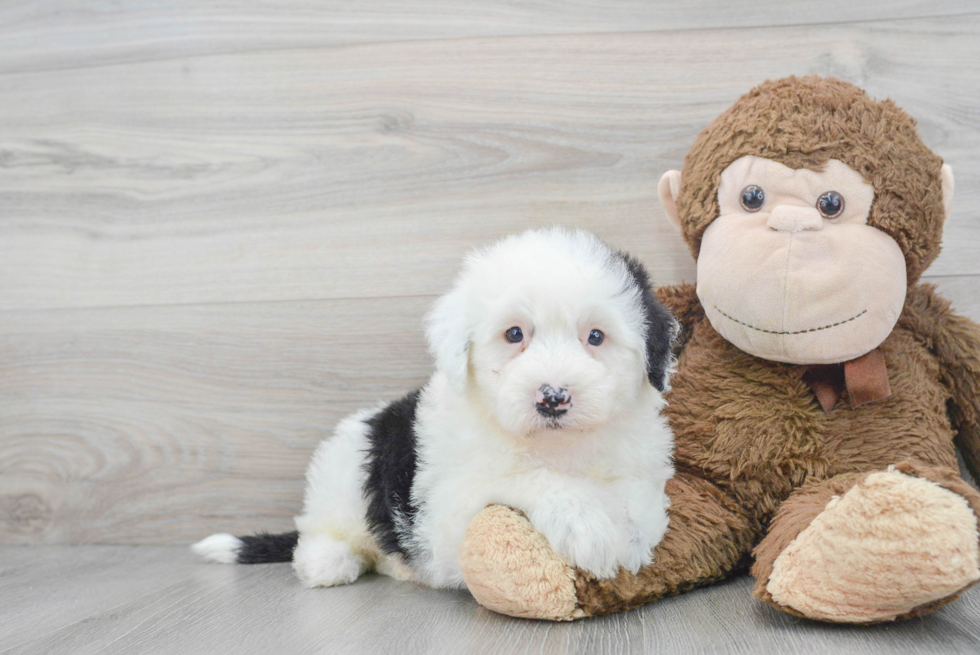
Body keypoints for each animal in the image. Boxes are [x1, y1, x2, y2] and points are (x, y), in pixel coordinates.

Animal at [195, 229, 676, 588]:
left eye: (595, 337)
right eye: (514, 334)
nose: (553, 397)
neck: (557, 445)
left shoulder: (638, 459)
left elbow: (642, 498)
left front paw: (634, 535)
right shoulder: (443, 511)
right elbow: (526, 477)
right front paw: (587, 524)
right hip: (345, 475)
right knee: (319, 531)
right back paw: (329, 561)